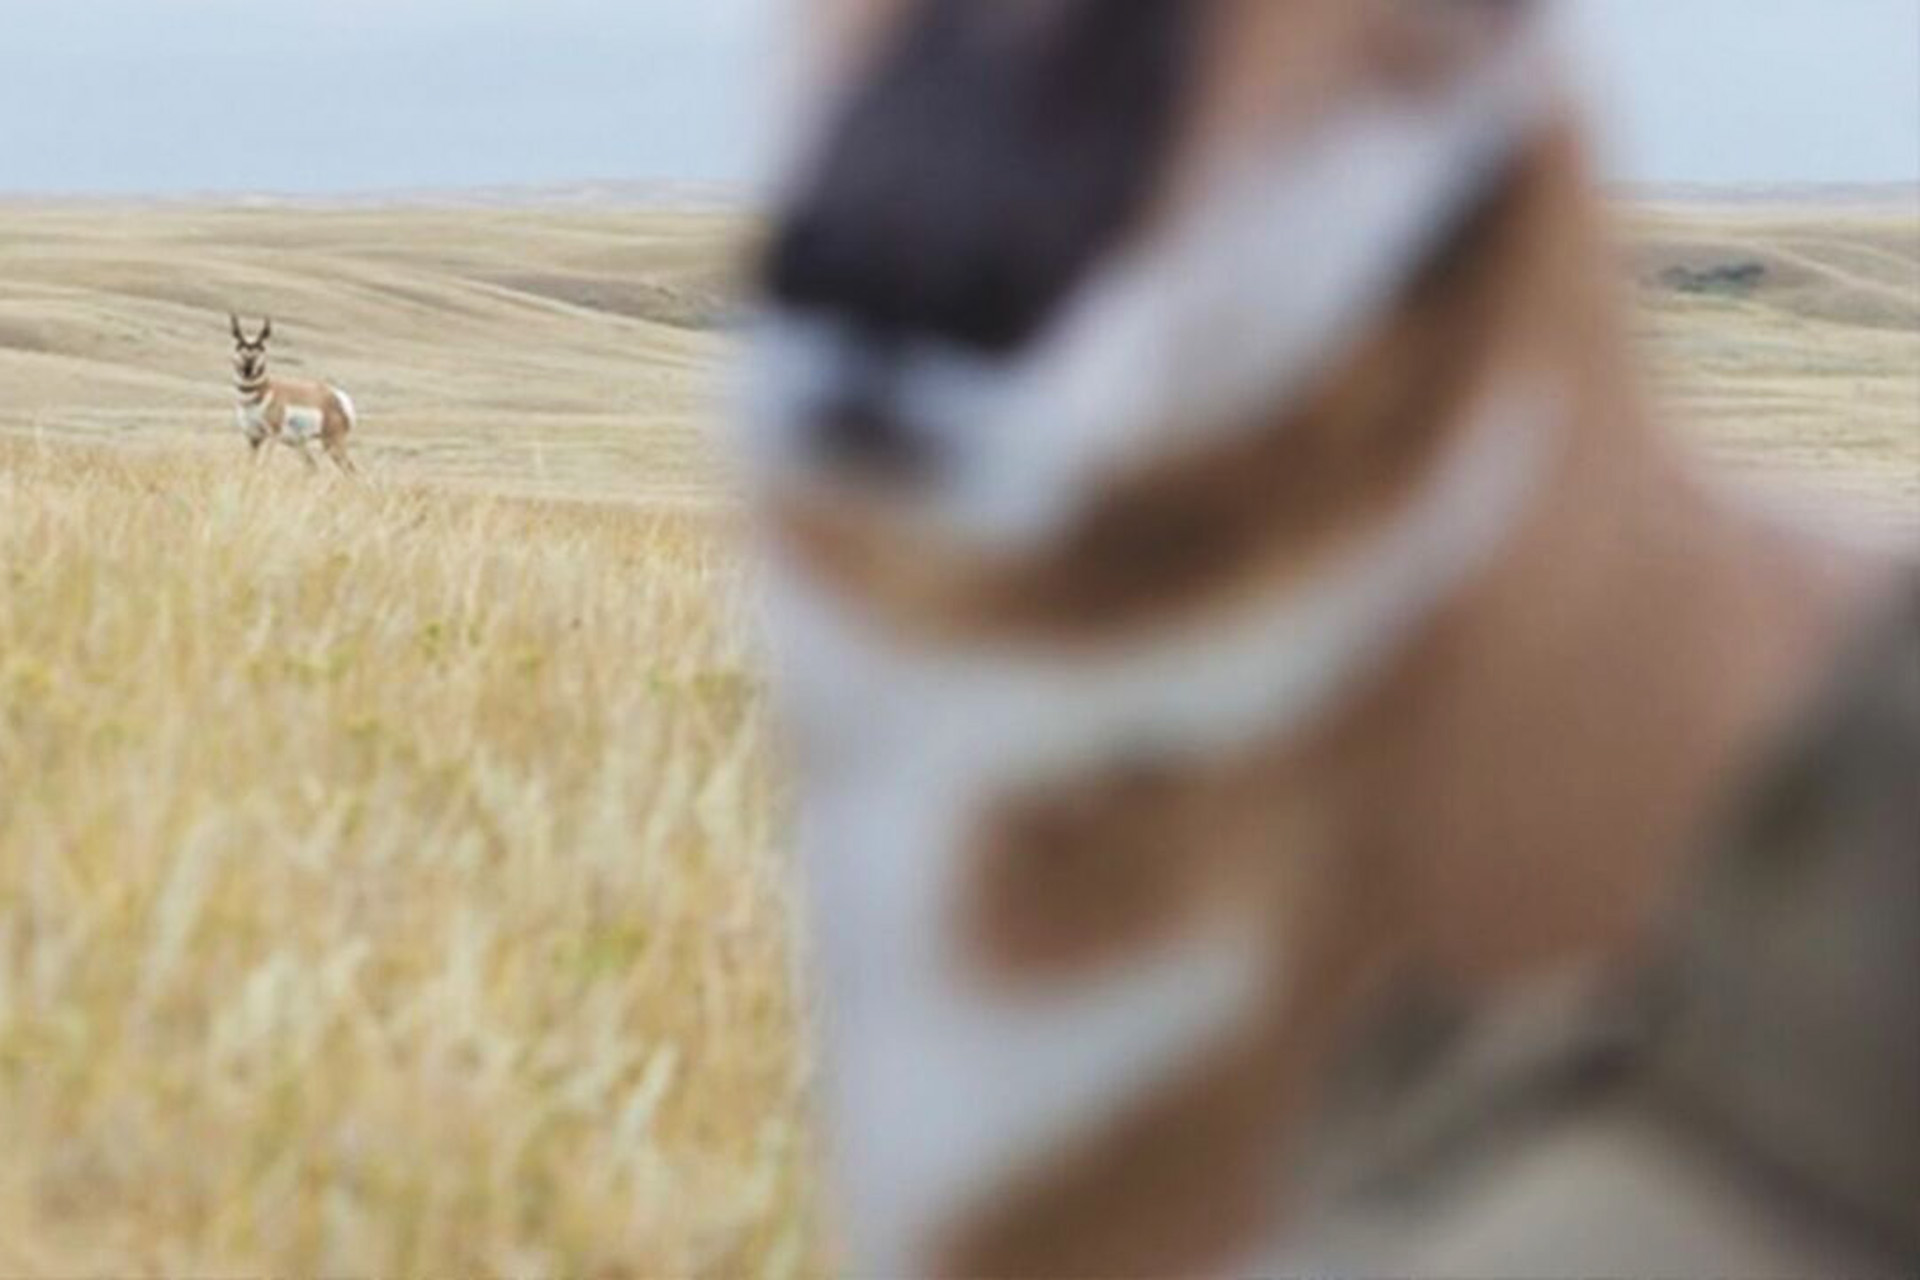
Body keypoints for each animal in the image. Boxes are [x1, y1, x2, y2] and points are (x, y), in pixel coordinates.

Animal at [230, 314, 359, 475]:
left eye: (261, 347)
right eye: (239, 346)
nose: (248, 368)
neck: (264, 391)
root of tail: (338, 396)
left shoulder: (273, 435)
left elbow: (265, 464)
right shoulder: (253, 438)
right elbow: (250, 466)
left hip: (333, 442)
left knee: (351, 470)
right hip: (302, 444)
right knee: (313, 466)